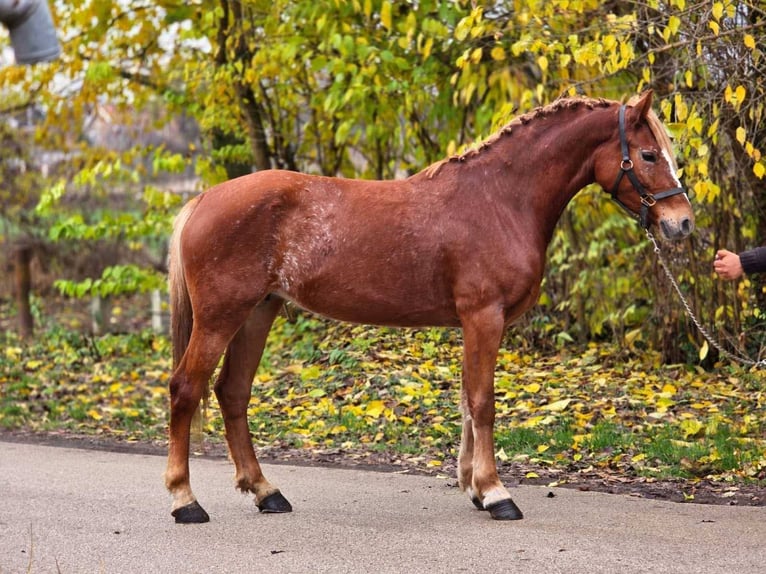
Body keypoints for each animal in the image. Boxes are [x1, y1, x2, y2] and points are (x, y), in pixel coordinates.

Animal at [164, 90, 694, 523]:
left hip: (258, 312)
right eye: (648, 154)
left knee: (232, 393)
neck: (500, 199)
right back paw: (185, 501)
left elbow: (466, 401)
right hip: (221, 316)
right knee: (186, 389)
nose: (682, 223)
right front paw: (496, 494)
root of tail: (203, 199)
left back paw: (266, 491)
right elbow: (483, 403)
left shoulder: (473, 323)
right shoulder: (483, 317)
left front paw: (474, 488)